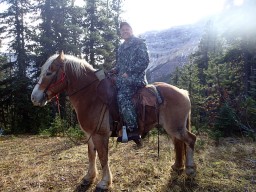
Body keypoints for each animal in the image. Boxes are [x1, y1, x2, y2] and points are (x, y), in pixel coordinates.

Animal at [31, 51, 197, 190]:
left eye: (49, 72)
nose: (34, 97)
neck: (91, 96)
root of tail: (183, 92)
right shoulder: (90, 134)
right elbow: (91, 155)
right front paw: (89, 177)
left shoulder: (100, 135)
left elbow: (103, 157)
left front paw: (104, 182)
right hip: (173, 128)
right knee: (178, 143)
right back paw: (177, 166)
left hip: (175, 127)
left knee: (191, 139)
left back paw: (190, 169)